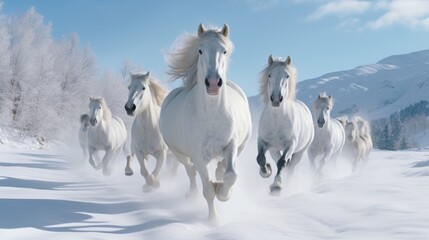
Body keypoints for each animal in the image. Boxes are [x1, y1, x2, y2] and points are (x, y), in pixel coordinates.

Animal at [159, 23, 251, 222]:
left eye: (224, 51)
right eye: (200, 51)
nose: (214, 83)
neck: (212, 116)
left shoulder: (231, 145)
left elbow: (231, 175)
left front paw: (224, 192)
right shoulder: (198, 156)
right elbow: (208, 190)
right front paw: (213, 220)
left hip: (241, 145)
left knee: (221, 166)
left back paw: (219, 175)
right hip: (178, 152)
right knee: (190, 171)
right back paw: (192, 194)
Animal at [256, 55, 312, 194]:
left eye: (287, 76)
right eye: (269, 74)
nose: (276, 99)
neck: (276, 120)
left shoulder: (290, 144)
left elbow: (282, 163)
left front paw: (276, 186)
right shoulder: (263, 141)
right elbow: (260, 158)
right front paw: (266, 171)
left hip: (299, 152)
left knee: (290, 167)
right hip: (274, 150)